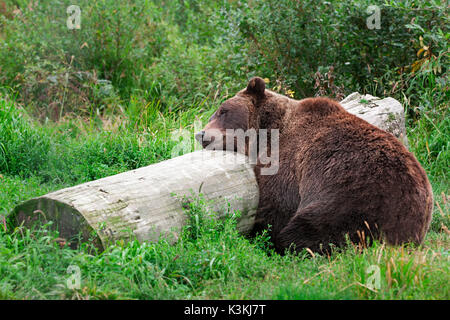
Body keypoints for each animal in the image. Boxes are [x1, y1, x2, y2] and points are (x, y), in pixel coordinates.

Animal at [195, 76, 434, 254]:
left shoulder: (288, 162)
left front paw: (262, 233)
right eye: (217, 112)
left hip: (354, 196)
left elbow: (276, 204)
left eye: (223, 110)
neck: (266, 134)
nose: (201, 133)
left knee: (314, 227)